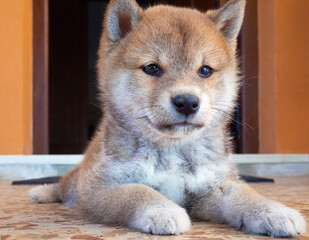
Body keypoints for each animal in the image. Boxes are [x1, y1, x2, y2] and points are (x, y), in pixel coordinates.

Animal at [29, 0, 306, 236]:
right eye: (152, 68)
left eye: (205, 70)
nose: (187, 102)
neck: (173, 150)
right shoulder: (99, 189)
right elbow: (138, 191)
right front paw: (162, 209)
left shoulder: (210, 185)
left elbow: (244, 194)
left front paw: (273, 210)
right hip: (80, 178)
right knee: (64, 185)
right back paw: (42, 192)